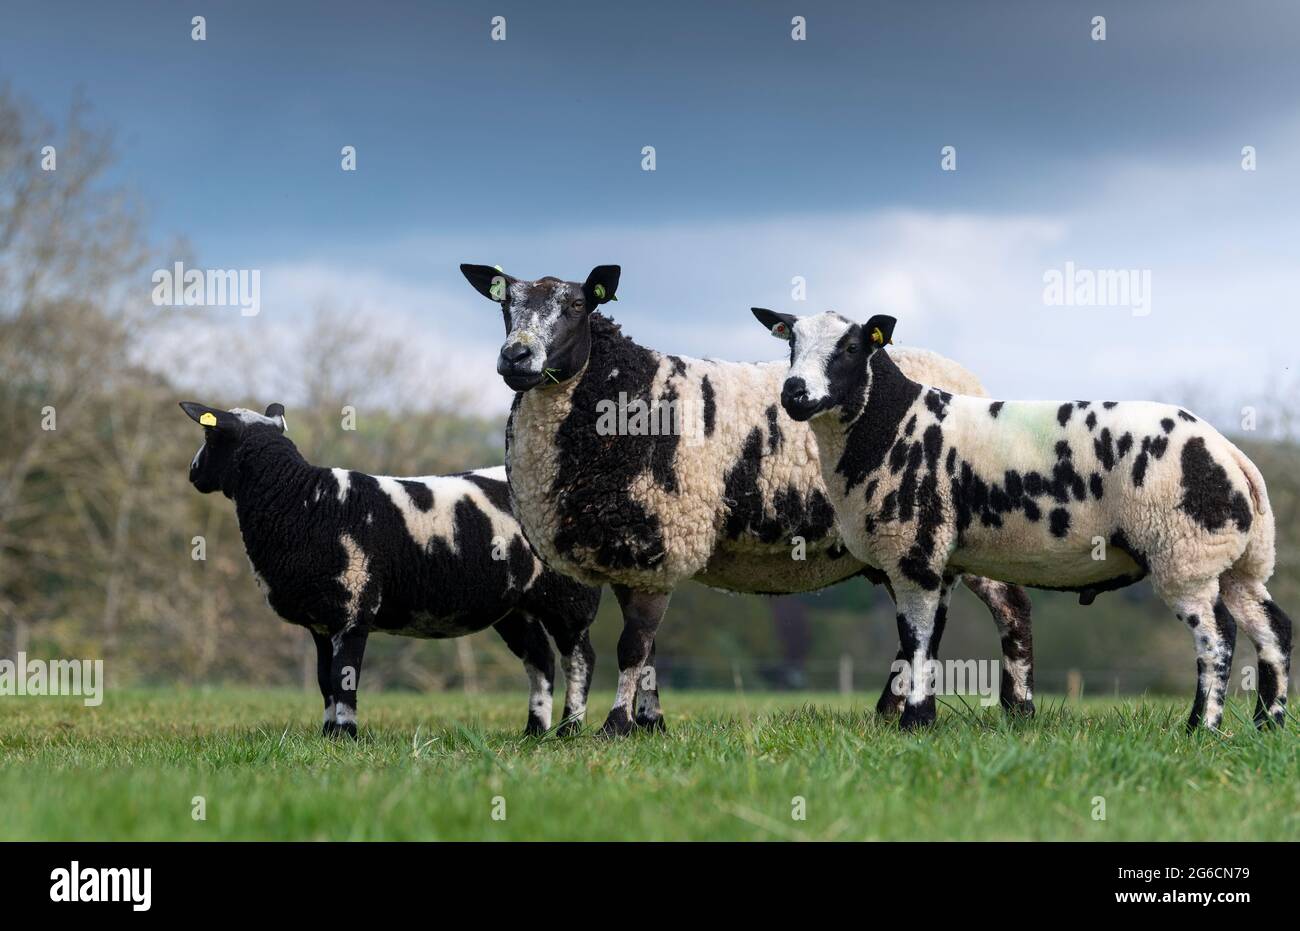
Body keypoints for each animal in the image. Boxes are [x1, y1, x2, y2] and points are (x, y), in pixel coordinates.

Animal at [180, 397, 600, 733]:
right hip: (514, 606)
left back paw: (569, 730)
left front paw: (346, 736)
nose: (193, 473)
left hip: (568, 596)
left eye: (210, 437)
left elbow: (344, 677)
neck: (303, 500)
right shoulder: (323, 620)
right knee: (540, 660)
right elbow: (324, 680)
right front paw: (327, 735)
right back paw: (534, 732)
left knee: (578, 659)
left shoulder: (354, 609)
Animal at [457, 261, 1034, 733]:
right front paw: (651, 724)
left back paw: (1017, 708)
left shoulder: (665, 536)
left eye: (577, 305)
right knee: (923, 624)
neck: (625, 394)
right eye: (504, 305)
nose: (516, 357)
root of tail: (969, 382)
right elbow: (647, 650)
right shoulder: (635, 549)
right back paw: (888, 713)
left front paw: (617, 726)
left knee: (1009, 606)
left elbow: (632, 645)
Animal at [759, 309, 1289, 733]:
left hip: (1185, 553)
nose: (794, 393)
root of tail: (1232, 455)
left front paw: (912, 724)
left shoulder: (915, 552)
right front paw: (922, 719)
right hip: (1236, 561)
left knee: (1217, 636)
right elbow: (928, 641)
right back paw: (1269, 723)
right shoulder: (940, 561)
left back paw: (1203, 728)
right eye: (790, 344)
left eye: (851, 348)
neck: (892, 425)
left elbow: (915, 639)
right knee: (1273, 629)